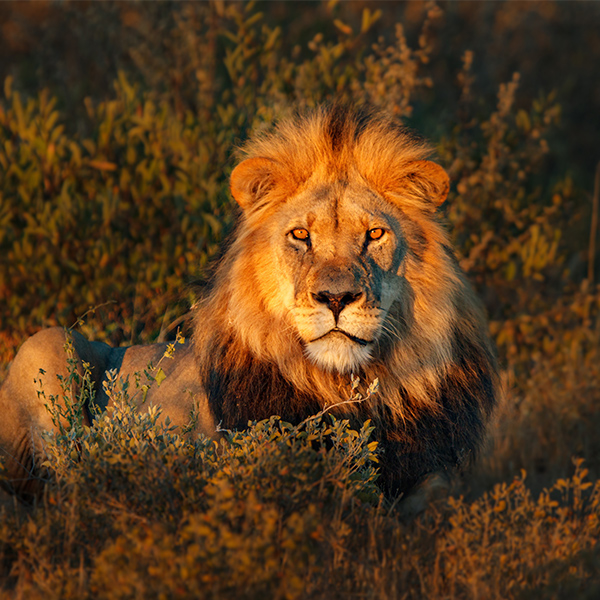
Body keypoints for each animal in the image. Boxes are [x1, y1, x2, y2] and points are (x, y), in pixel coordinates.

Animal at [0, 105, 496, 504]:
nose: (336, 298)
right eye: (301, 235)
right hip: (49, 343)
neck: (342, 387)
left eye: (374, 234)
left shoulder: (431, 477)